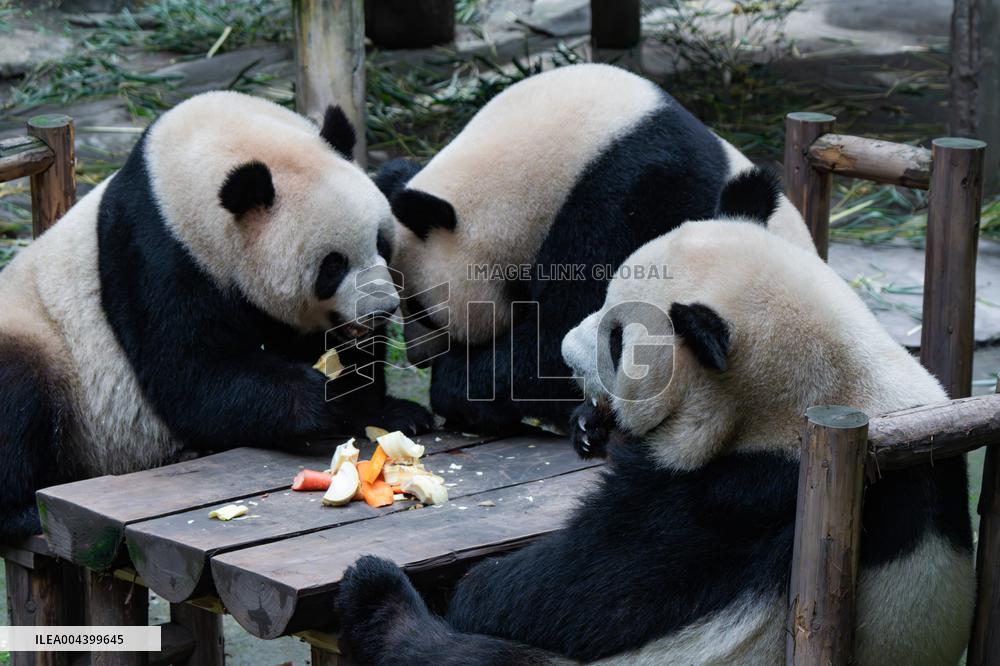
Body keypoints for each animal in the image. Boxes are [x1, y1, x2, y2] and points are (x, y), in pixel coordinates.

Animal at [0, 91, 432, 541]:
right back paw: (21, 513)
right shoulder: (157, 252)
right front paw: (321, 396)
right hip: (40, 343)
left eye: (381, 242)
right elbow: (192, 375)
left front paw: (388, 410)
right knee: (17, 401)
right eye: (332, 266)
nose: (382, 309)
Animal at [334, 174, 974, 664]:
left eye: (618, 341)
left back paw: (378, 597)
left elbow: (581, 586)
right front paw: (590, 426)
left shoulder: (744, 498)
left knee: (467, 655)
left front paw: (477, 590)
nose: (566, 355)